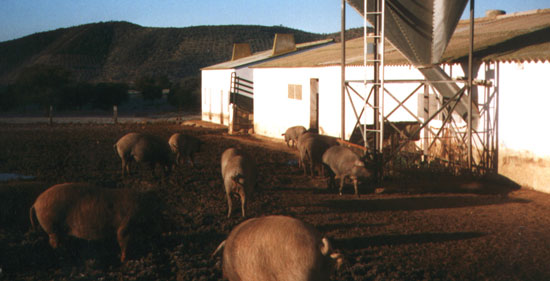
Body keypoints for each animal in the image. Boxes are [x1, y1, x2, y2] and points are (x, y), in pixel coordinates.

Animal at [28, 182, 161, 260]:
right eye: (155, 210)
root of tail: (35, 203)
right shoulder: (126, 224)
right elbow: (123, 241)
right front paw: (123, 260)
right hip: (51, 225)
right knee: (53, 242)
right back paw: (62, 255)